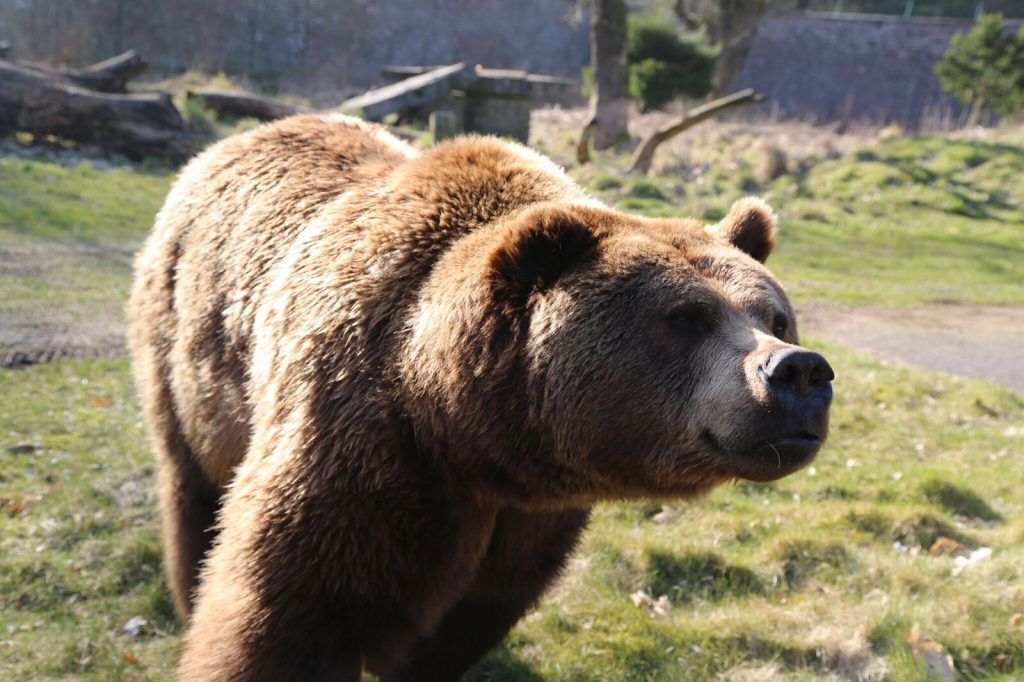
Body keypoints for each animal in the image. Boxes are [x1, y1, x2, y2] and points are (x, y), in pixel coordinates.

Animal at [128, 114, 831, 675]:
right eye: (686, 317)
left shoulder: (523, 526)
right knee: (193, 495)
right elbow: (287, 610)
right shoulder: (358, 453)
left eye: (774, 317)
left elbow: (463, 625)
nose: (799, 371)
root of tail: (231, 142)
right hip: (185, 361)